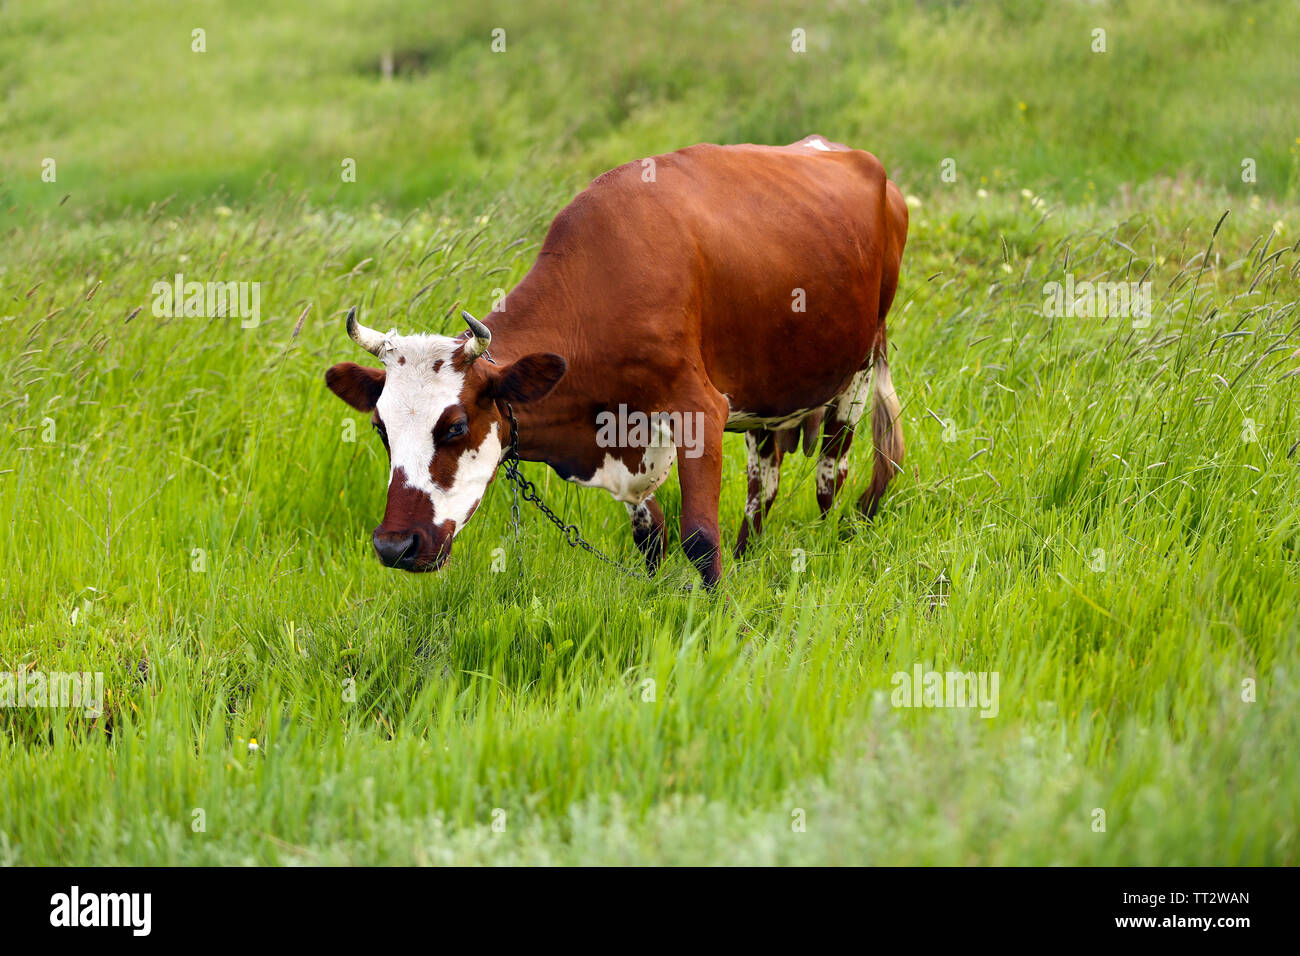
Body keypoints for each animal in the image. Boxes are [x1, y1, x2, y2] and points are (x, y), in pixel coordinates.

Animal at [325, 135, 908, 588]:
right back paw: (750, 554)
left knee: (830, 475)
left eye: (455, 426)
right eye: (380, 428)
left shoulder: (701, 409)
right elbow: (651, 536)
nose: (394, 545)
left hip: (857, 371)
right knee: (763, 483)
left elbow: (700, 537)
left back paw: (825, 541)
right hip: (769, 393)